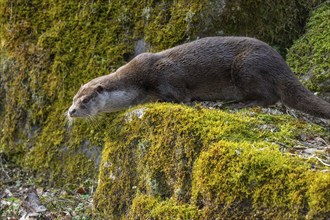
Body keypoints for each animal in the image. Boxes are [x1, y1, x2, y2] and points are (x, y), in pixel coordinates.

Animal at [67, 36, 330, 118]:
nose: (70, 111)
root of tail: (281, 64)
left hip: (247, 66)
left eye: (86, 100)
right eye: (73, 99)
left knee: (269, 97)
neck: (137, 81)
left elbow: (181, 96)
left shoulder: (166, 75)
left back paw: (239, 104)